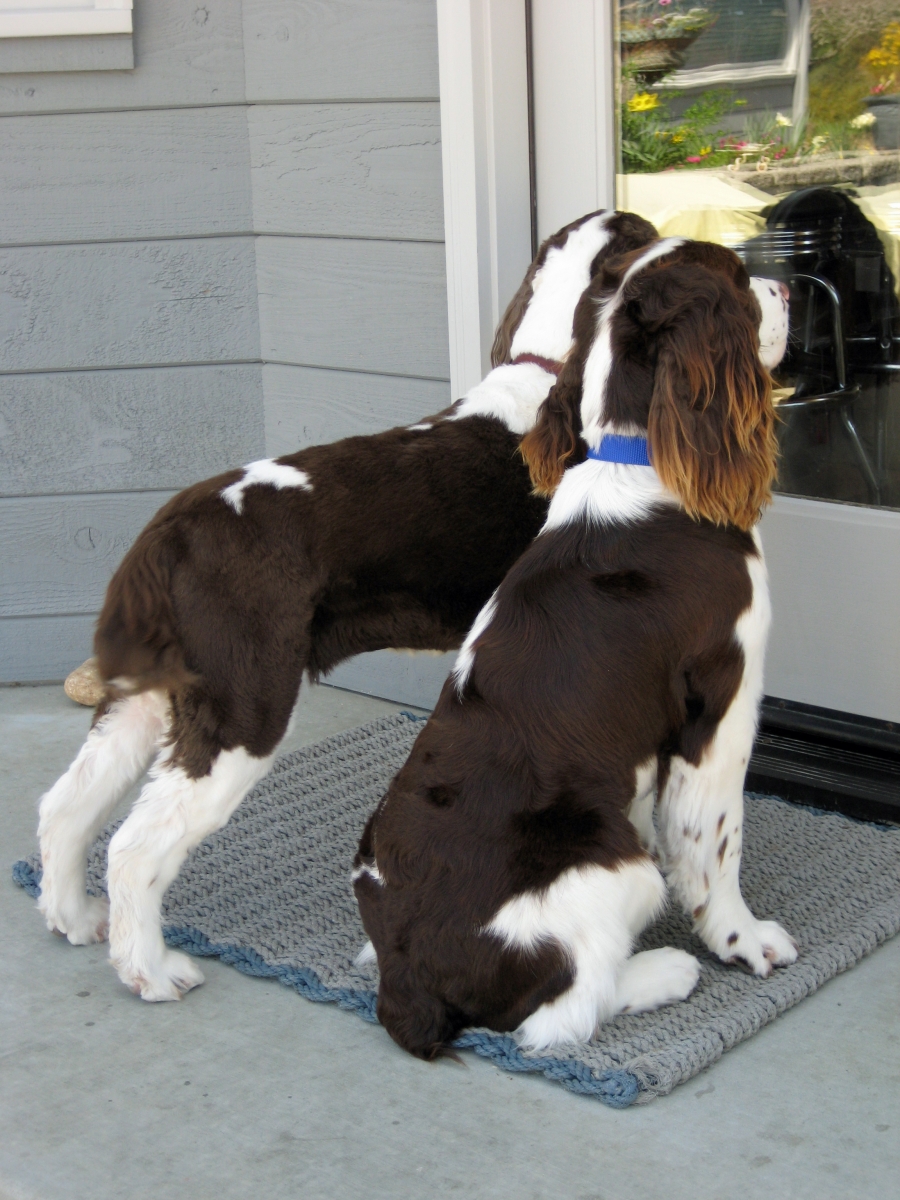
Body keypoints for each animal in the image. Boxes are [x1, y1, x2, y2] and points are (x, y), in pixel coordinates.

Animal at [33, 208, 662, 1003]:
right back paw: (150, 969)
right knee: (136, 845)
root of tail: (168, 532)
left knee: (66, 806)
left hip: (150, 699)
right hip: (243, 706)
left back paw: (72, 918)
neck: (541, 376)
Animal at [355, 236, 801, 1060]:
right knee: (561, 1012)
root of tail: (410, 976)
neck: (640, 460)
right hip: (608, 862)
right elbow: (715, 843)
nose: (786, 287)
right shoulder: (722, 702)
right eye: (735, 281)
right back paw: (665, 971)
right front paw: (743, 940)